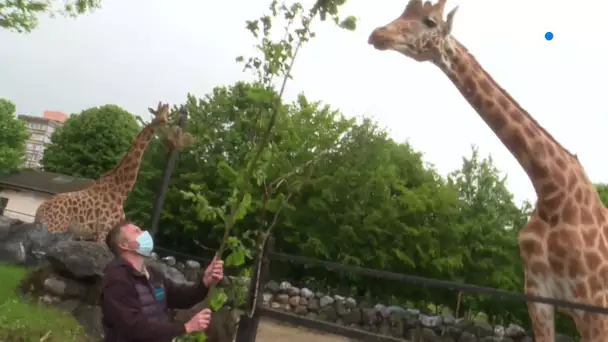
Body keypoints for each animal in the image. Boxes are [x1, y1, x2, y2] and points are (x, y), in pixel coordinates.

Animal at [34, 101, 170, 243]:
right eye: (160, 115)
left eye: (167, 114)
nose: (166, 123)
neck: (121, 191)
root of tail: (39, 210)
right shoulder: (103, 230)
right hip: (55, 227)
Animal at [368, 1, 608, 340]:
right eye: (403, 11)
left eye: (430, 21)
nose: (378, 34)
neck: (553, 192)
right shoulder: (538, 296)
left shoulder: (594, 306)